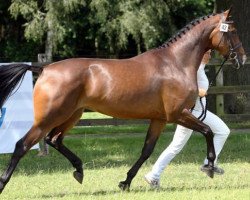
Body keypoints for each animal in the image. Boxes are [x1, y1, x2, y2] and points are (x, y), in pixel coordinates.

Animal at [0, 9, 247, 192]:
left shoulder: (159, 119)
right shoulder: (178, 114)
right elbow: (208, 131)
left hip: (72, 115)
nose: (242, 59)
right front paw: (210, 167)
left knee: (54, 139)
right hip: (49, 117)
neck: (175, 63)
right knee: (23, 145)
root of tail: (45, 69)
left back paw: (79, 170)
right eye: (233, 31)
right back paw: (4, 183)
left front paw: (125, 182)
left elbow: (147, 150)